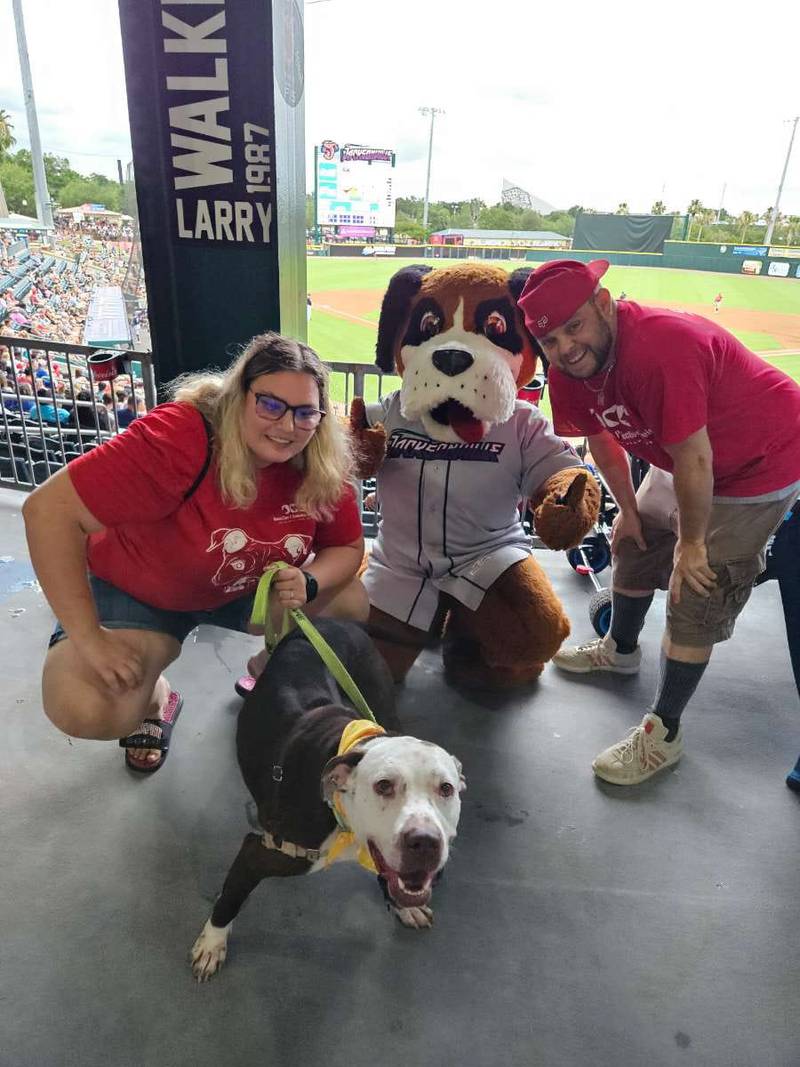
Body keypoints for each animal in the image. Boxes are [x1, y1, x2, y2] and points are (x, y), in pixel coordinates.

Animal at [189, 618, 462, 981]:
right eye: (383, 786)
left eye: (446, 789)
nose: (425, 842)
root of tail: (330, 621)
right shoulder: (259, 852)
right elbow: (228, 901)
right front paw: (212, 944)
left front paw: (404, 908)